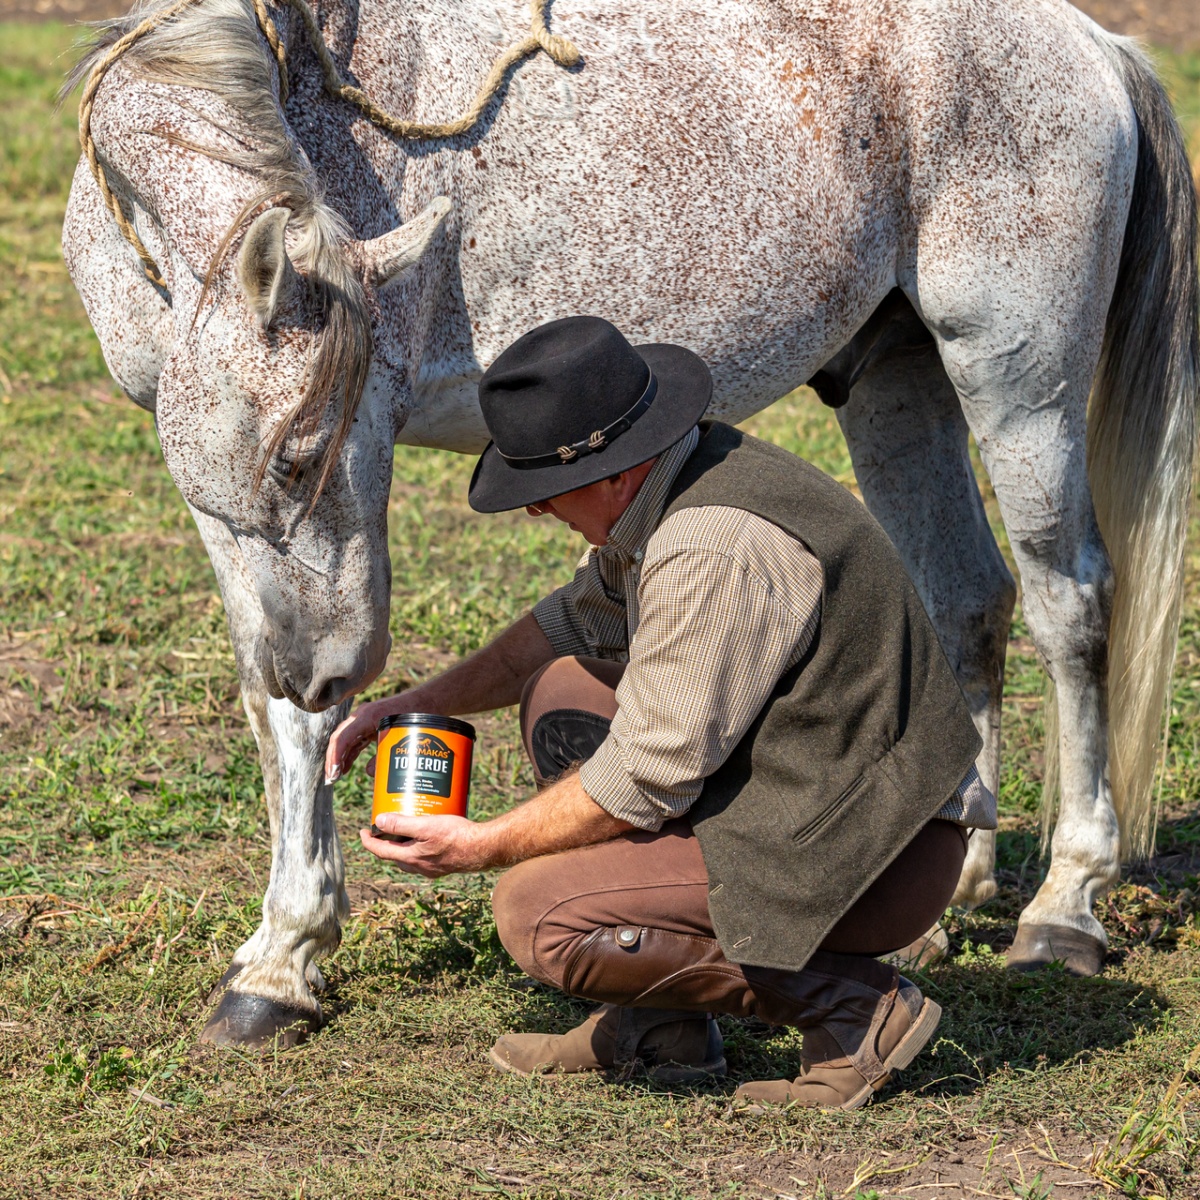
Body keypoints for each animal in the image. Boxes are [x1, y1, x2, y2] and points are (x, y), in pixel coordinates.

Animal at [63, 0, 1200, 1051]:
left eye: (309, 448)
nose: (331, 669)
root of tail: (1090, 43)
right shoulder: (217, 510)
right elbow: (270, 705)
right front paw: (280, 958)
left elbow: (297, 718)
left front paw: (288, 955)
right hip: (898, 377)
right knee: (964, 601)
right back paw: (949, 890)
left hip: (1018, 384)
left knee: (1069, 606)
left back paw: (1065, 909)